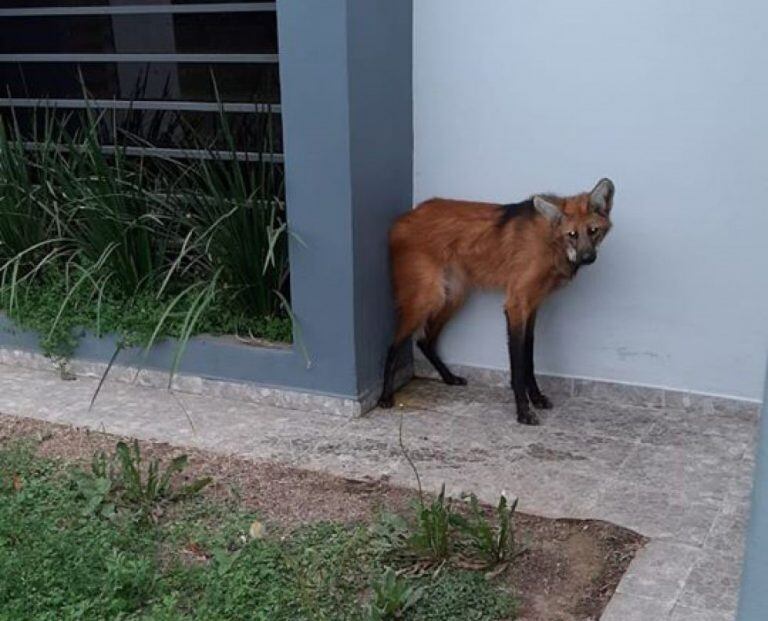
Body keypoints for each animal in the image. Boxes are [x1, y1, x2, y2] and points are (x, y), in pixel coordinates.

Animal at [376, 177, 612, 424]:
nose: (588, 258)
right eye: (572, 234)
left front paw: (537, 398)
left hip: (454, 295)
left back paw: (449, 377)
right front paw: (523, 412)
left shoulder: (532, 305)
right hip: (429, 297)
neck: (551, 242)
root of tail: (403, 218)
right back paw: (385, 396)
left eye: (593, 231)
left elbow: (529, 356)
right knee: (394, 345)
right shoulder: (516, 303)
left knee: (425, 340)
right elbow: (518, 364)